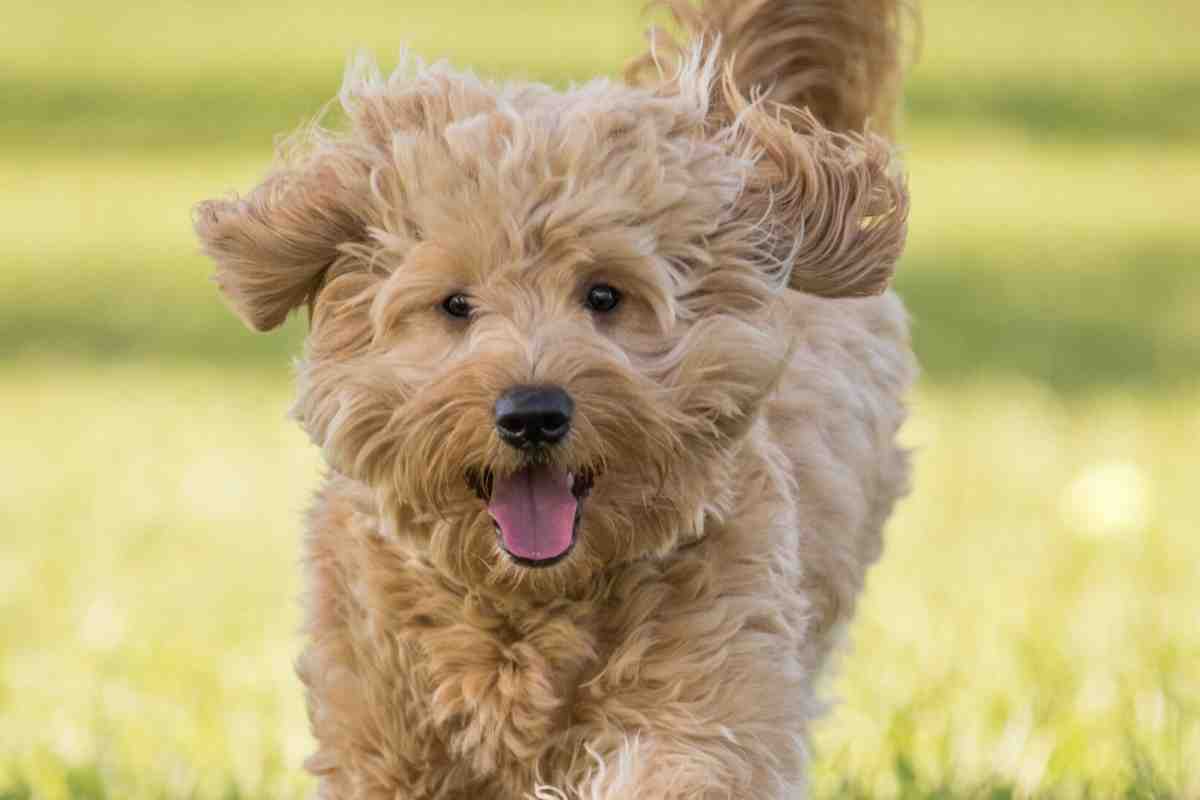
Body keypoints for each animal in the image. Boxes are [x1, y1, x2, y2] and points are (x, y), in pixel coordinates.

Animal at [192, 3, 912, 796]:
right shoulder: (375, 727)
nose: (532, 413)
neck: (526, 606)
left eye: (604, 295)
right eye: (456, 304)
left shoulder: (715, 682)